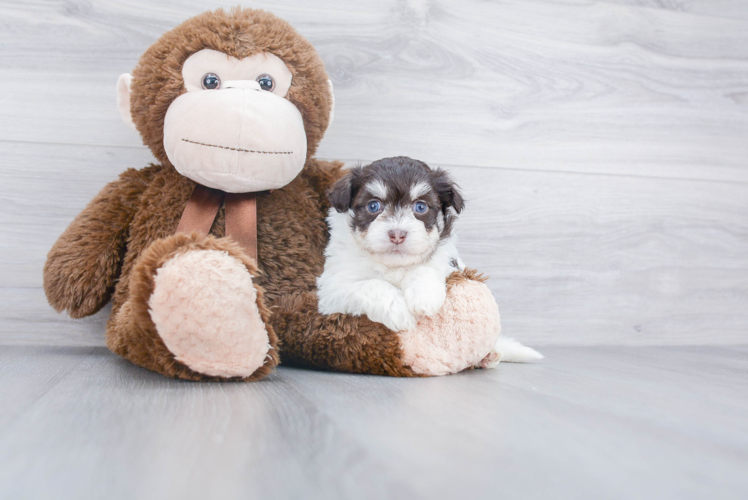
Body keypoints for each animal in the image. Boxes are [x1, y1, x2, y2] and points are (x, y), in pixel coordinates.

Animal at [316, 154, 544, 366]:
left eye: (420, 207)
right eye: (373, 206)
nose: (397, 234)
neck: (394, 265)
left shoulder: (448, 261)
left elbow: (425, 268)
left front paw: (424, 296)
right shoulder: (333, 287)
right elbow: (372, 285)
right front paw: (400, 311)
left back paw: (489, 355)